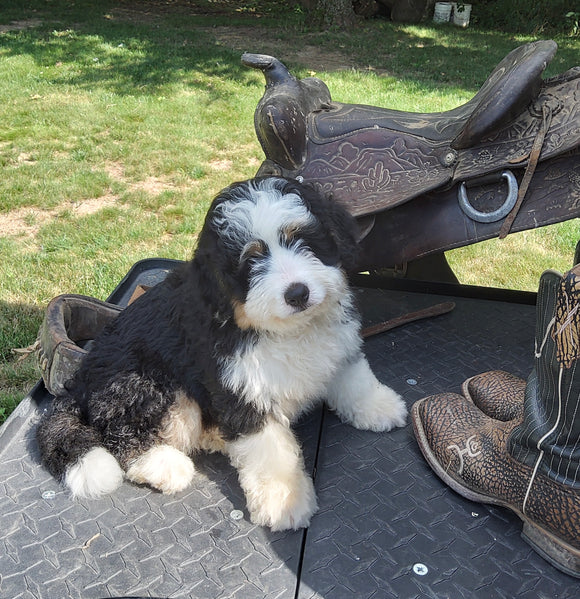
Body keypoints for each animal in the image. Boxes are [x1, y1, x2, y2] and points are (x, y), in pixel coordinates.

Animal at [37, 176, 408, 532]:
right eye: (251, 260)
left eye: (302, 240)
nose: (297, 293)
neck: (284, 330)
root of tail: (81, 381)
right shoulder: (241, 389)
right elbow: (270, 451)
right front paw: (283, 500)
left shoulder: (336, 343)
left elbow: (353, 377)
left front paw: (377, 406)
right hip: (144, 384)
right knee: (120, 434)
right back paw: (164, 465)